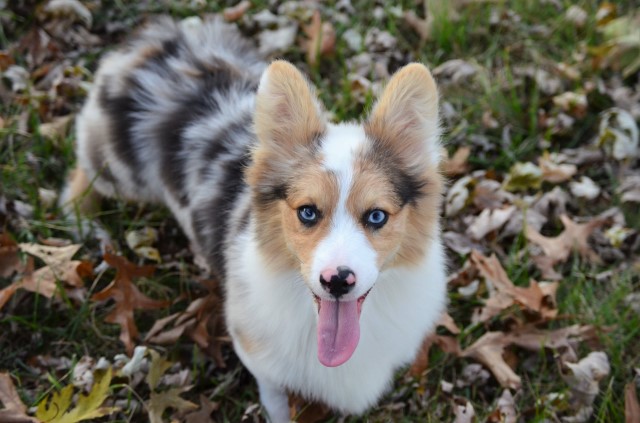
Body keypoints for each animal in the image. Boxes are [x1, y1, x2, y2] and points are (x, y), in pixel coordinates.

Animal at [62, 16, 448, 423]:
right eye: (307, 211)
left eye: (376, 216)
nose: (337, 281)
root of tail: (158, 37)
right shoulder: (258, 355)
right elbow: (275, 400)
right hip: (121, 172)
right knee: (83, 170)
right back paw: (82, 221)